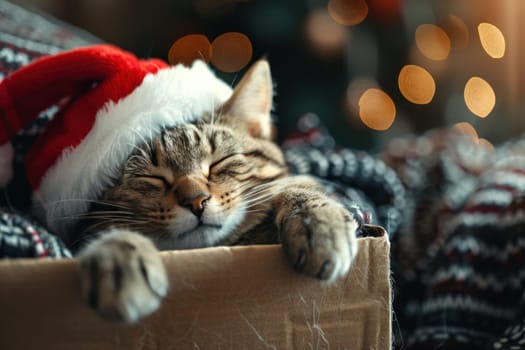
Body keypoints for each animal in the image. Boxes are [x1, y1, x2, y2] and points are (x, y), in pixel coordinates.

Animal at [73, 59, 358, 322]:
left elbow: (294, 186)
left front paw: (320, 223)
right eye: (152, 177)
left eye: (219, 162)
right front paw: (119, 256)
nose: (196, 201)